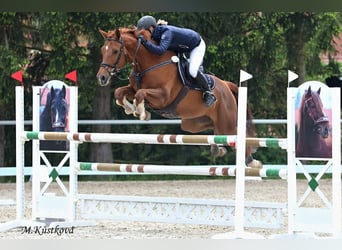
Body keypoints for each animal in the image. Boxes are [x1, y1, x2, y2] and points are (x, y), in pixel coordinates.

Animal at [96, 27, 262, 168]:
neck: (149, 63)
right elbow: (119, 92)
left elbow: (140, 94)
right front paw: (132, 110)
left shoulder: (163, 97)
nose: (102, 78)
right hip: (192, 123)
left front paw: (141, 113)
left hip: (226, 122)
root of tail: (227, 86)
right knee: (215, 130)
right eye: (102, 50)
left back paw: (251, 160)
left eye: (115, 51)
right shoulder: (133, 88)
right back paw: (218, 148)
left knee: (235, 133)